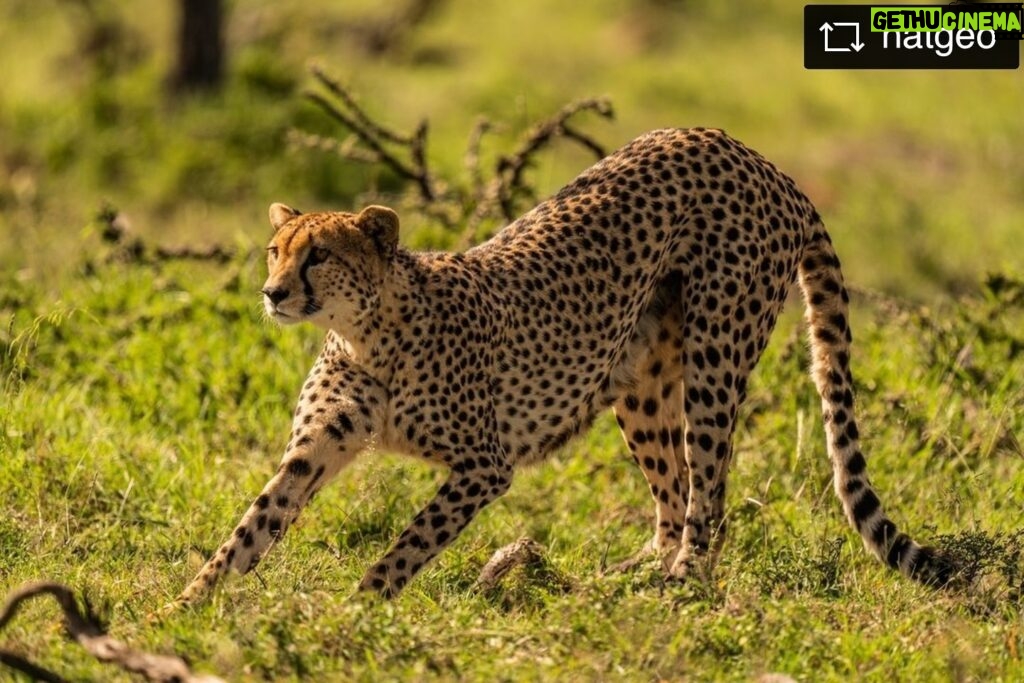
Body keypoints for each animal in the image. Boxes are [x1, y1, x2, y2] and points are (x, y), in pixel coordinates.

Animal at [169, 127, 950, 610]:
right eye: (275, 250)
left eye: (319, 256)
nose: (272, 292)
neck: (367, 333)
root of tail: (754, 157)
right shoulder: (315, 447)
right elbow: (251, 527)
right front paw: (183, 609)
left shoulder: (483, 465)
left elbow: (408, 542)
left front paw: (358, 606)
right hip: (641, 384)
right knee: (673, 495)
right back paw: (623, 578)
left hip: (716, 358)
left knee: (711, 497)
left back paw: (680, 588)